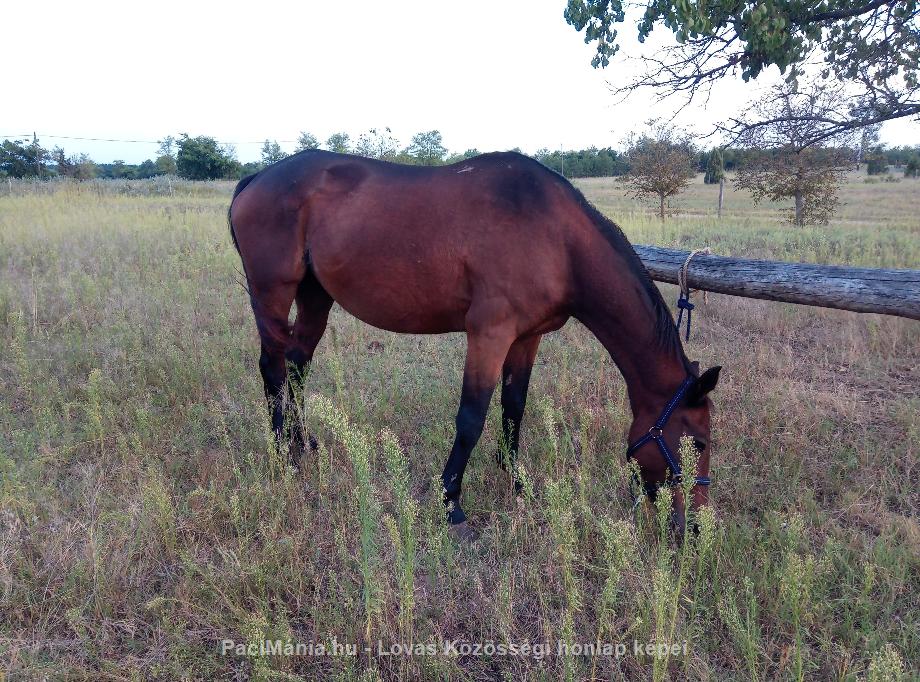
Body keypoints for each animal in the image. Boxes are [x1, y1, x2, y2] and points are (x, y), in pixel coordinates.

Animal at [228, 149, 720, 532]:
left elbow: (513, 408)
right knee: (273, 367)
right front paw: (451, 503)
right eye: (697, 442)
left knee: (297, 363)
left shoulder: (526, 338)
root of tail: (256, 179)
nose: (694, 527)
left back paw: (303, 443)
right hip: (273, 293)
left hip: (315, 296)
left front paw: (517, 481)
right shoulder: (489, 334)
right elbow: (472, 417)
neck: (555, 236)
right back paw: (284, 457)